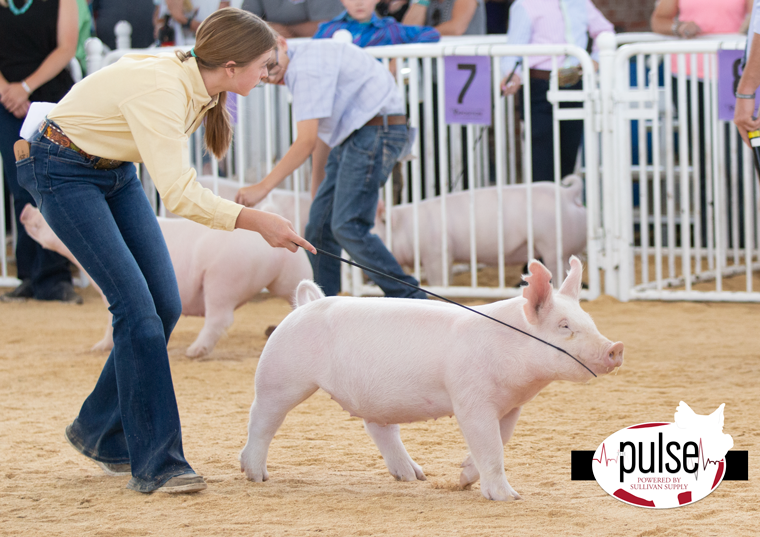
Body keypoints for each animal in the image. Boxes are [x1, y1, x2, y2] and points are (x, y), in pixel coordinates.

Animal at [20, 203, 312, 358]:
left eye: (44, 214)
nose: (25, 208)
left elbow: (109, 321)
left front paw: (98, 348)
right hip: (292, 274)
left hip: (222, 280)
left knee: (220, 318)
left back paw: (194, 352)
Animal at [239, 258, 624, 500]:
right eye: (564, 326)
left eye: (588, 320)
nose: (615, 347)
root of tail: (306, 305)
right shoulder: (470, 400)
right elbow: (490, 447)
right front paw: (508, 497)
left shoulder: (511, 406)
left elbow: (501, 439)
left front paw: (463, 480)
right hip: (280, 375)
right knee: (261, 418)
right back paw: (255, 475)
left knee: (379, 428)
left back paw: (414, 476)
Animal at [376, 175, 588, 284]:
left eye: (374, 230)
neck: (407, 227)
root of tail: (569, 193)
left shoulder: (436, 253)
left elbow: (439, 278)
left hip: (552, 244)